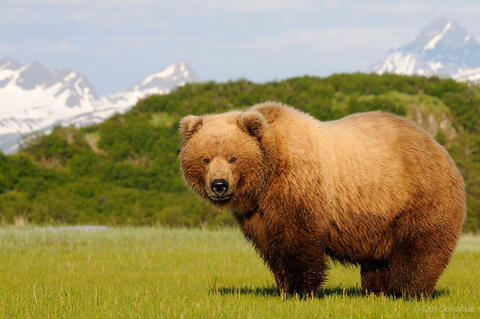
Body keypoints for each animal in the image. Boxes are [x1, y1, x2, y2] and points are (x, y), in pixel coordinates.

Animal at [178, 102, 464, 300]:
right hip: (381, 219)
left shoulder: (298, 188)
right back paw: (376, 291)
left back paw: (407, 291)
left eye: (233, 157)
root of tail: (439, 147)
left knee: (420, 246)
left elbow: (297, 242)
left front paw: (299, 291)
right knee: (378, 259)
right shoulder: (257, 213)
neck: (268, 174)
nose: (219, 185)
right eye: (205, 158)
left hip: (419, 194)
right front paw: (283, 287)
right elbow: (271, 248)